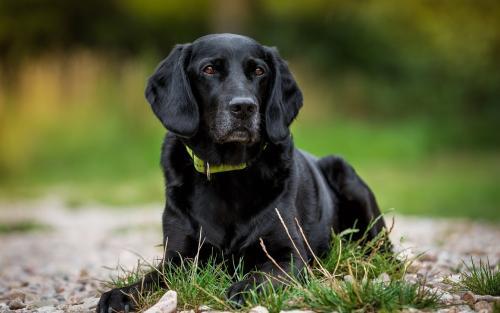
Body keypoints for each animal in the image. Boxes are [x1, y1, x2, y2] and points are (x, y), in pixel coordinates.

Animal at [97, 33, 386, 310]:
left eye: (259, 71)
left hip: (348, 179)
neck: (228, 172)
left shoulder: (289, 255)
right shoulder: (178, 258)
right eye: (209, 69)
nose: (244, 107)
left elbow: (263, 275)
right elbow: (150, 278)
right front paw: (121, 294)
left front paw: (245, 288)